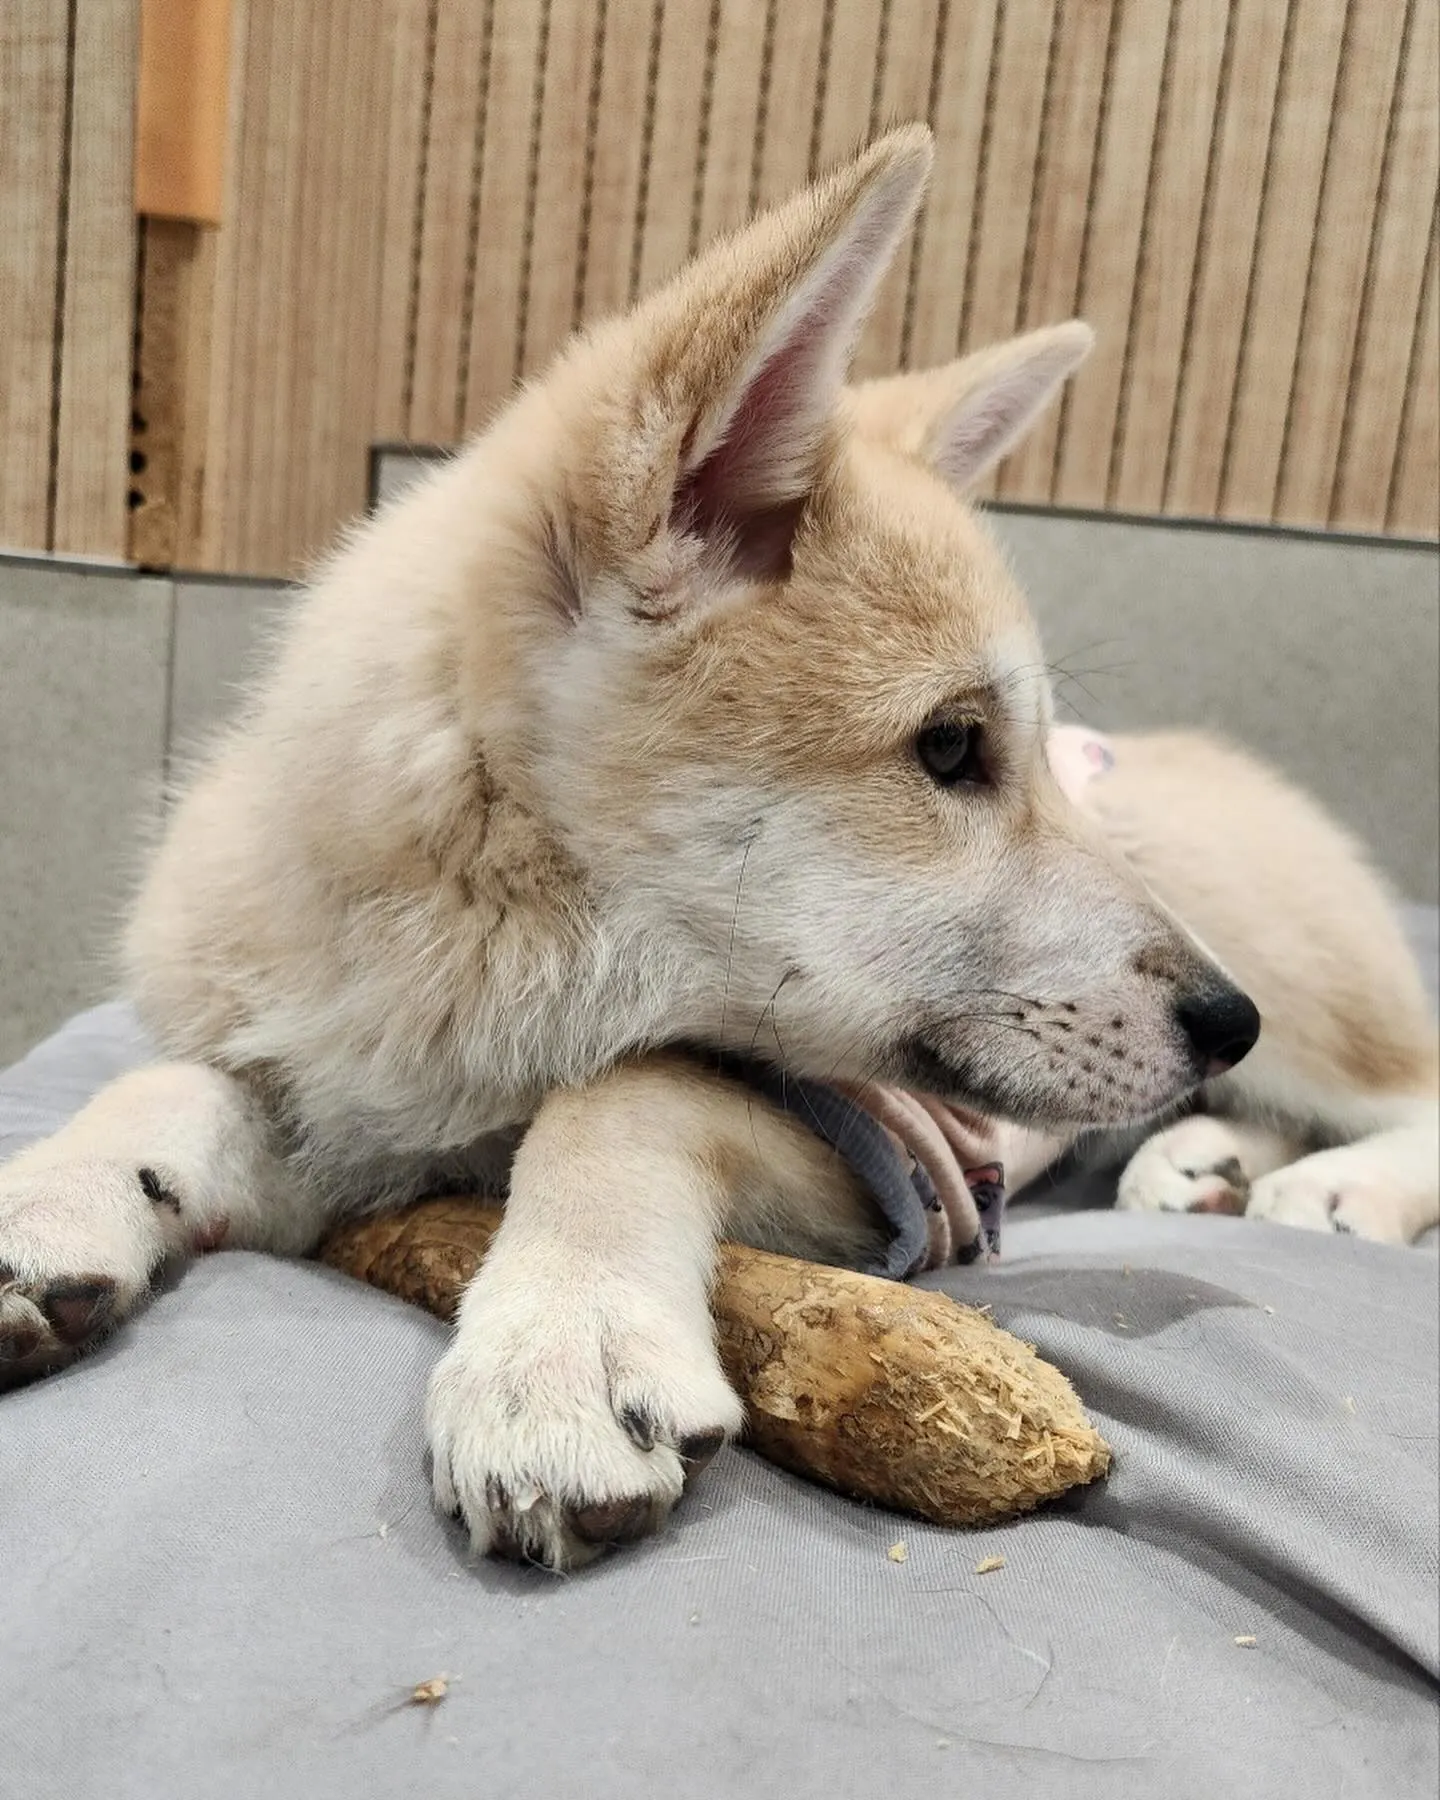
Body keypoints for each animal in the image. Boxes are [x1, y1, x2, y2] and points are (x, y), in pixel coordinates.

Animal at [1, 127, 1434, 1571]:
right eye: (953, 747)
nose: (1223, 1018)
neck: (465, 966)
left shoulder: (878, 1168)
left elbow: (626, 1095)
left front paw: (561, 1341)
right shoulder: (331, 1105)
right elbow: (169, 1085)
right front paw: (48, 1201)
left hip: (1309, 996)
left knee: (1408, 1085)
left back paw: (1335, 1188)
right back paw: (1200, 1163)